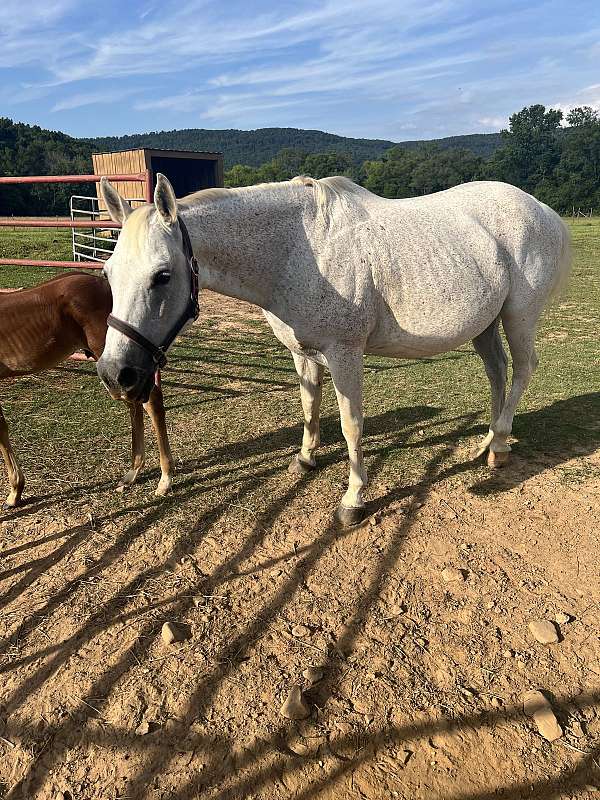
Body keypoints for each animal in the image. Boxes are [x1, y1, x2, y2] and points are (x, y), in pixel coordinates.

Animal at [0, 272, 174, 508]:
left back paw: (164, 479)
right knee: (135, 402)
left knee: (150, 399)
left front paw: (14, 492)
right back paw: (132, 474)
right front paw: (16, 491)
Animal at [96, 173, 571, 526]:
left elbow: (351, 426)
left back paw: (501, 446)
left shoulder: (345, 355)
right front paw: (305, 460)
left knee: (523, 368)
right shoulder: (303, 352)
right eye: (107, 272)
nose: (116, 373)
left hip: (519, 316)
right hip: (485, 324)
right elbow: (309, 407)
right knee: (497, 372)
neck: (296, 252)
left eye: (162, 275)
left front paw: (354, 500)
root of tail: (542, 210)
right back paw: (488, 443)